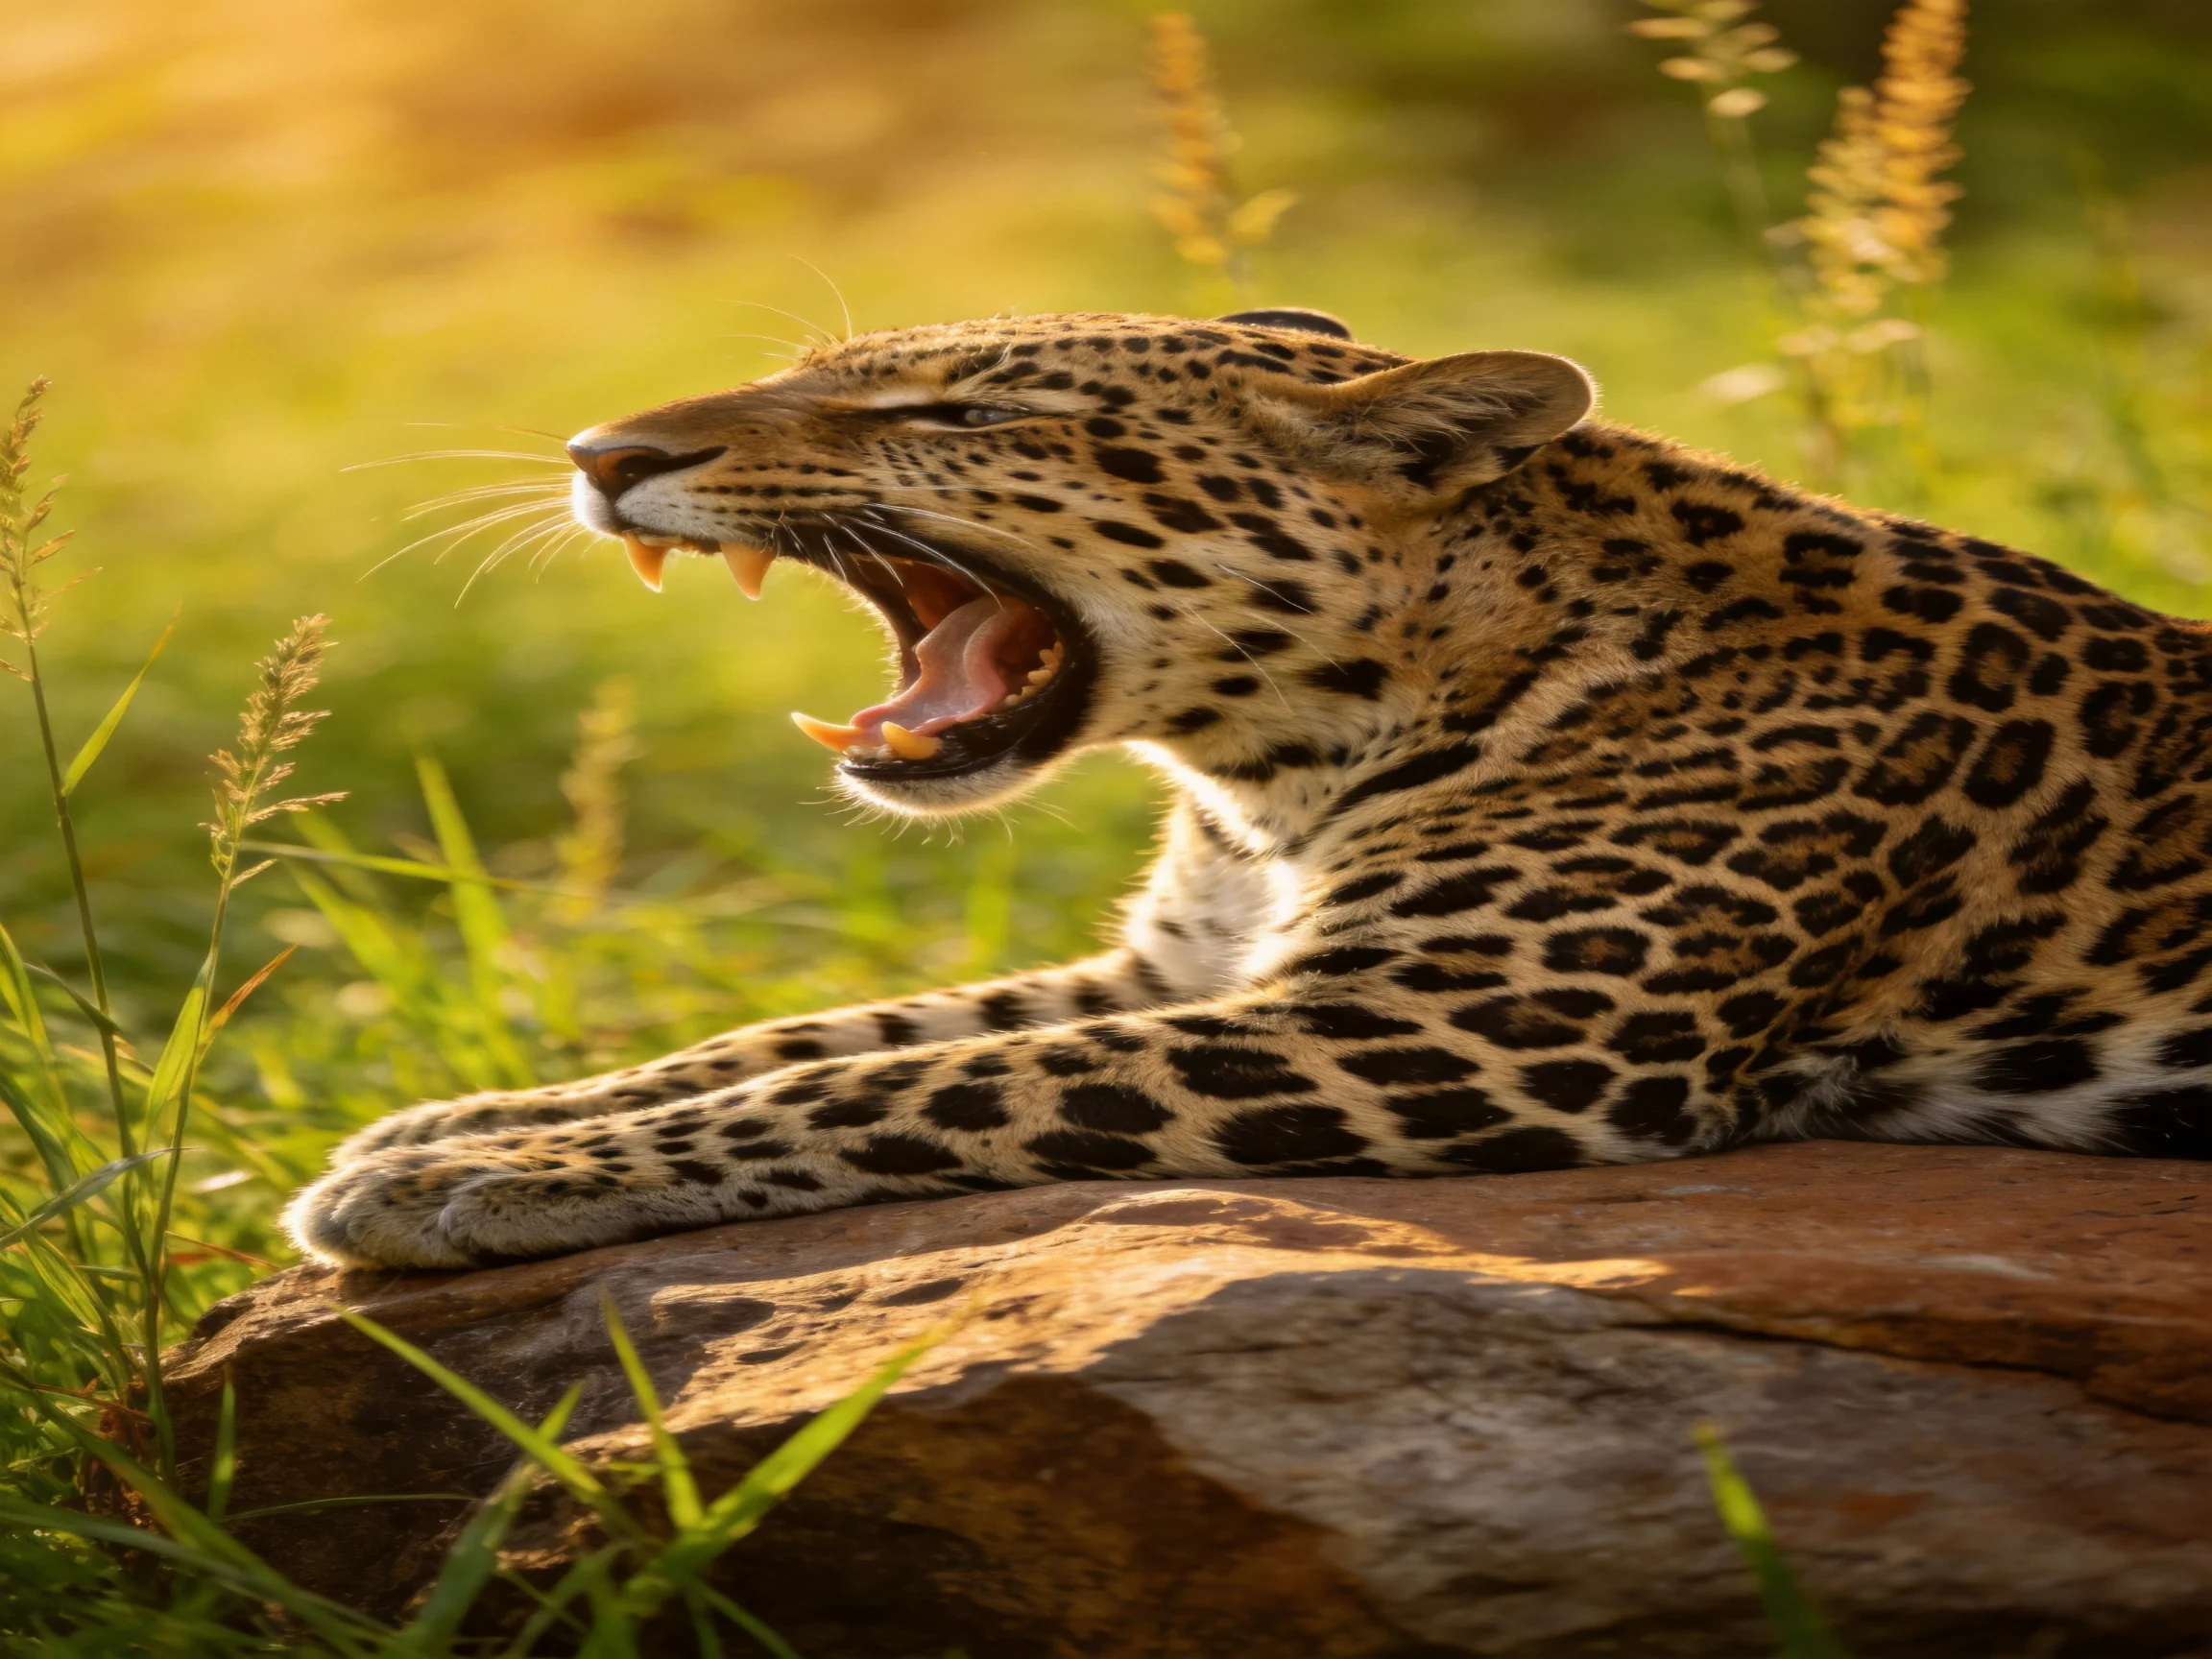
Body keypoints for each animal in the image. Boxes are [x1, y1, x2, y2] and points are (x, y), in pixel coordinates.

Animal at [286, 305, 2212, 1270]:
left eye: (963, 416)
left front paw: (481, 1177)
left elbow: (919, 1083)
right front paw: (457, 1122)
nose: (601, 453)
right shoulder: (1174, 965)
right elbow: (818, 1035)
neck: (1269, 780)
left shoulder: (1451, 1028)